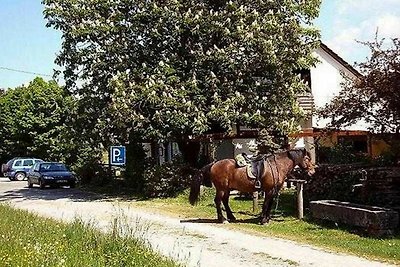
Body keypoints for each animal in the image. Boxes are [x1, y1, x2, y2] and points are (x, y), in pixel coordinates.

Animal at [188, 150, 316, 225]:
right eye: (307, 159)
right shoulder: (269, 190)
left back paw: (231, 217)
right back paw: (222, 219)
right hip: (221, 189)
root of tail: (214, 164)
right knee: (218, 201)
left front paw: (267, 219)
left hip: (227, 189)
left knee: (225, 201)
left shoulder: (273, 191)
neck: (276, 166)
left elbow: (270, 204)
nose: (312, 171)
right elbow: (266, 204)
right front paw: (263, 220)